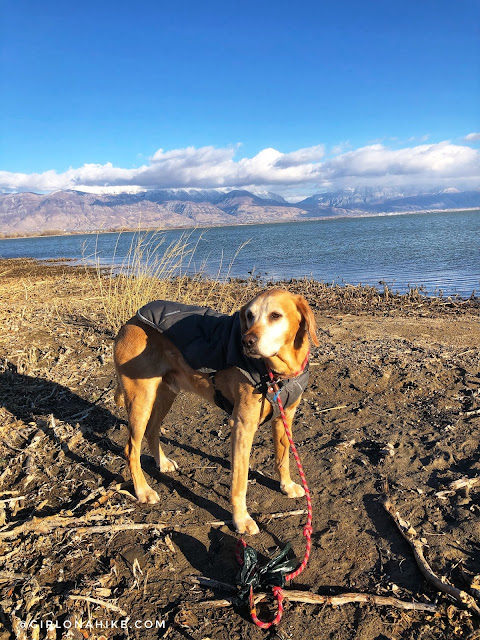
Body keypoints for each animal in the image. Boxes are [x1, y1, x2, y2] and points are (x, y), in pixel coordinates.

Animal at [113, 290, 318, 536]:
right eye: (249, 316)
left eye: (276, 315)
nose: (246, 341)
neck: (278, 372)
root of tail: (129, 322)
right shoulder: (242, 426)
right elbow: (239, 482)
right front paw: (241, 519)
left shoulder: (284, 417)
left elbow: (282, 458)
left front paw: (286, 486)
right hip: (140, 399)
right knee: (131, 448)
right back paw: (143, 490)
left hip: (165, 394)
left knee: (152, 430)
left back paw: (162, 463)